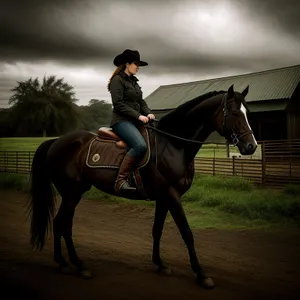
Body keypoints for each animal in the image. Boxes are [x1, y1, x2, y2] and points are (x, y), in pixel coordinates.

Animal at [27, 84, 258, 288]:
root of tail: (56, 141)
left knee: (62, 224)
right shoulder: (172, 196)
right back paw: (74, 265)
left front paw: (160, 264)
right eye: (235, 113)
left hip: (74, 193)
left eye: (248, 113)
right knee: (61, 224)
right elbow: (187, 233)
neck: (173, 146)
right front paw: (201, 275)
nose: (251, 146)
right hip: (71, 193)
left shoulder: (164, 198)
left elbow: (157, 230)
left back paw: (68, 263)